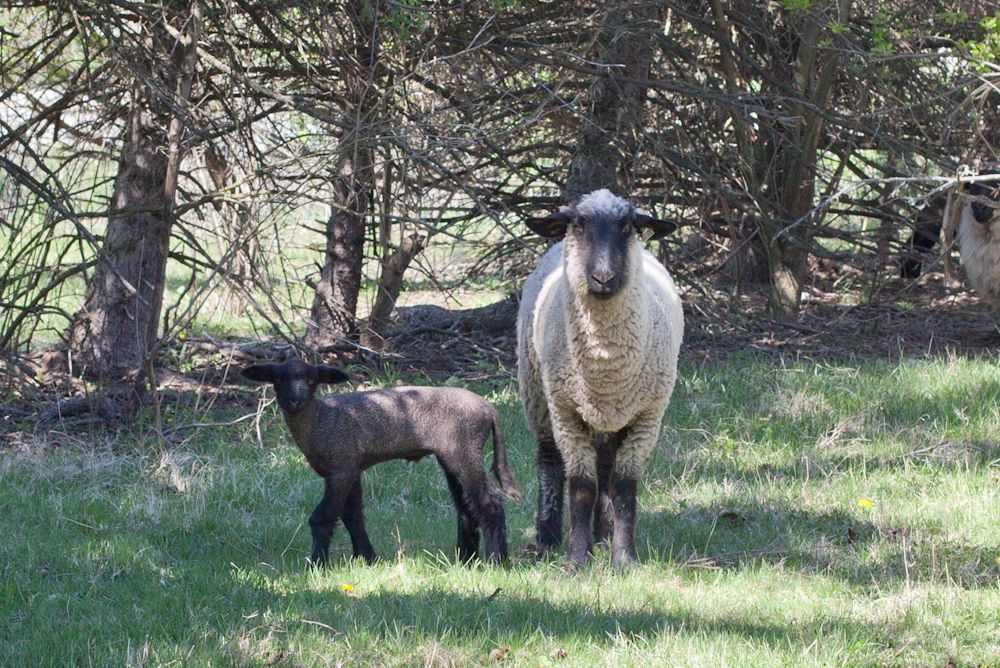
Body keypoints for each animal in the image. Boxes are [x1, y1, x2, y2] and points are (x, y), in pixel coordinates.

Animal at [242, 360, 524, 564]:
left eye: (312, 380)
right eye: (279, 379)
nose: (295, 401)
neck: (320, 420)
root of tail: (489, 409)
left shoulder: (341, 467)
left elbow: (323, 517)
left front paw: (318, 564)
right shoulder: (351, 468)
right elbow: (352, 515)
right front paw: (366, 558)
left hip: (464, 449)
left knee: (489, 502)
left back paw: (497, 561)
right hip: (451, 455)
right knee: (465, 506)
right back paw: (466, 559)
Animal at [516, 190, 688, 568]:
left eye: (627, 226)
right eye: (578, 225)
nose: (604, 278)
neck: (606, 365)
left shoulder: (647, 418)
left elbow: (624, 486)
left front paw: (624, 559)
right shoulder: (566, 413)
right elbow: (581, 485)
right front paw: (576, 561)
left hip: (611, 418)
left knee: (606, 466)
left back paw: (604, 535)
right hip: (537, 393)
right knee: (549, 461)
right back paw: (548, 539)